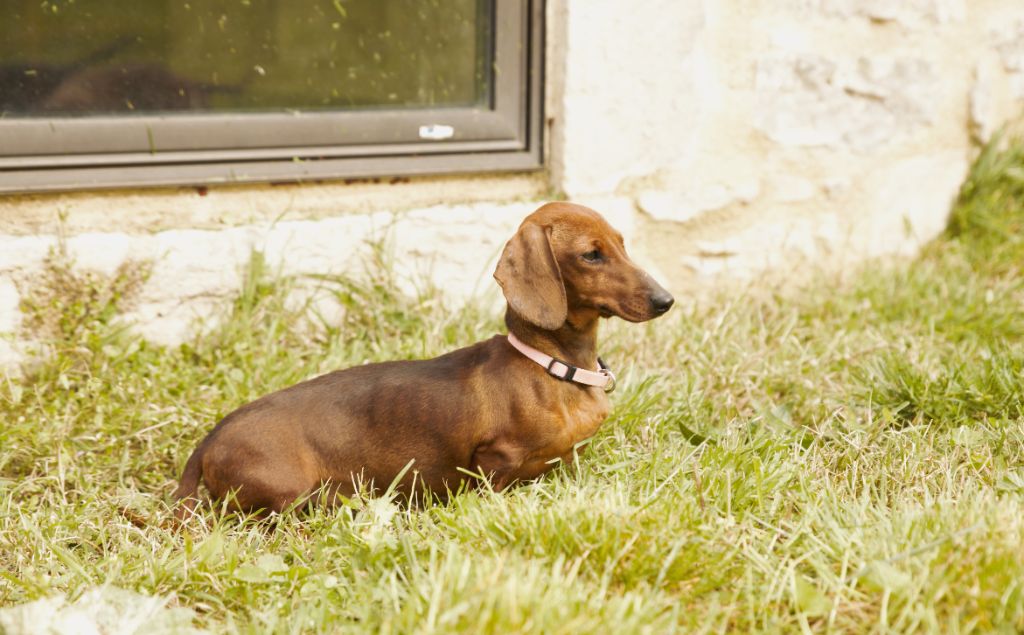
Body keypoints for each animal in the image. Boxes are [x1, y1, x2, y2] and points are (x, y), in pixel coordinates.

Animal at [173, 200, 675, 518]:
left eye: (623, 244)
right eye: (591, 255)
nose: (665, 300)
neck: (552, 366)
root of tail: (209, 440)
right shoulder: (493, 460)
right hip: (287, 491)